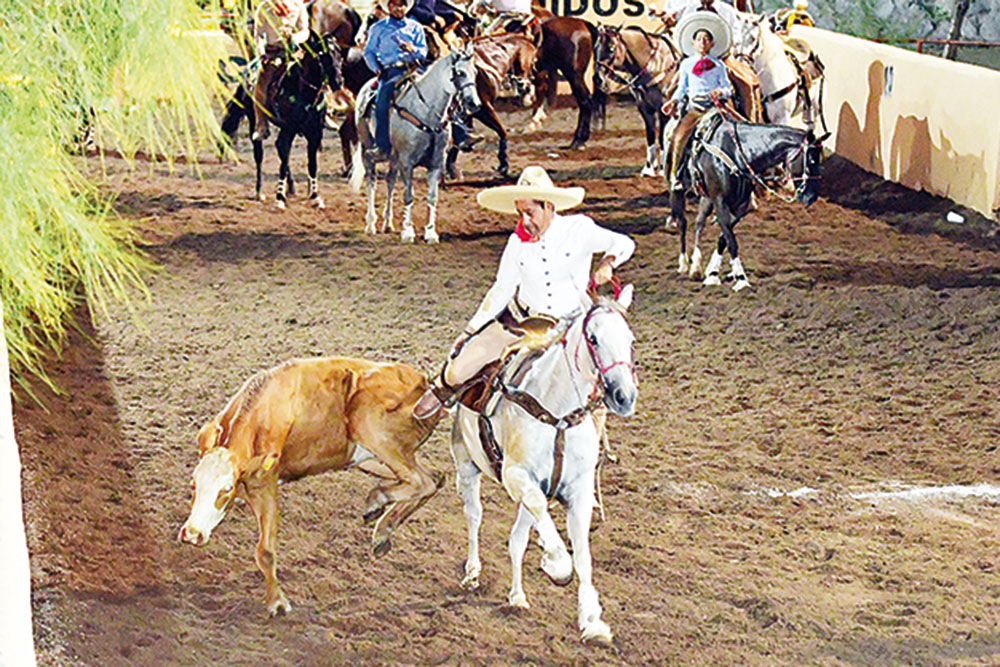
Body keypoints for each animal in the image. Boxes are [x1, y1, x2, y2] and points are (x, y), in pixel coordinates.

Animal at [348, 48, 480, 244]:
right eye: (460, 73)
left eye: (476, 72)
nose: (475, 104)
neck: (426, 113)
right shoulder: (407, 163)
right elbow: (408, 196)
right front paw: (408, 232)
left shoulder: (435, 164)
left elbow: (432, 198)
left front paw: (431, 233)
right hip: (367, 150)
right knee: (371, 181)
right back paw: (371, 224)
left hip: (393, 159)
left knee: (390, 181)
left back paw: (388, 223)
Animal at [450, 290, 636, 644]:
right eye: (593, 338)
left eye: (630, 340)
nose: (624, 396)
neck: (558, 415)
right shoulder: (516, 476)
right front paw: (557, 565)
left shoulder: (578, 492)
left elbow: (583, 555)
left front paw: (592, 621)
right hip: (467, 466)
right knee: (474, 517)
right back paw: (473, 571)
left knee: (518, 538)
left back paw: (517, 595)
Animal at [668, 113, 824, 292]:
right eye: (812, 160)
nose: (811, 197)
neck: (735, 152)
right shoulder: (720, 202)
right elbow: (731, 241)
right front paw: (741, 279)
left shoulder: (741, 206)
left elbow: (724, 238)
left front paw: (713, 272)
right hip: (678, 192)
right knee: (683, 224)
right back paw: (684, 264)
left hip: (706, 198)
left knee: (699, 224)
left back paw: (696, 267)